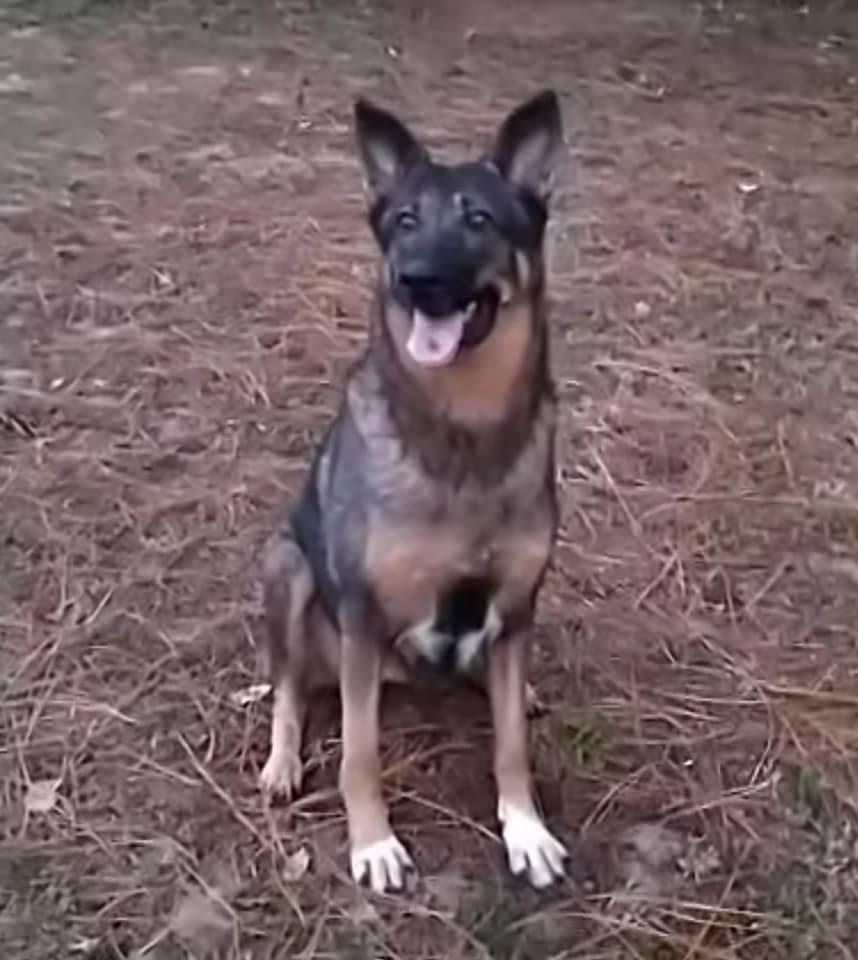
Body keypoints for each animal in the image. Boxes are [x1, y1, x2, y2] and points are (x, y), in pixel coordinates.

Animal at [260, 90, 568, 892]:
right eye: (403, 221)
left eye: (479, 218)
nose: (416, 278)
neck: (464, 431)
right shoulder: (363, 618)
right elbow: (360, 753)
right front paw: (373, 843)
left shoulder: (514, 609)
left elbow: (510, 747)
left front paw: (525, 829)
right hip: (288, 567)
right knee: (289, 685)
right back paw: (280, 760)